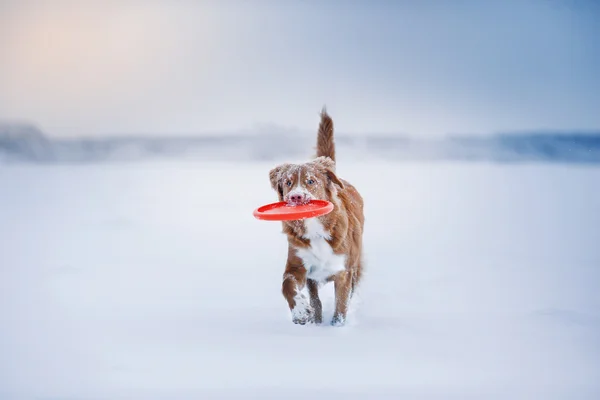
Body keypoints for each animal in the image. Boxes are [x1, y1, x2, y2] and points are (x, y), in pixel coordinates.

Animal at [268, 108, 364, 326]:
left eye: (310, 181)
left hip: (356, 264)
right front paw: (300, 311)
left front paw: (337, 327)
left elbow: (341, 306)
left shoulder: (343, 270)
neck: (315, 228)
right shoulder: (297, 265)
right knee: (315, 298)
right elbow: (287, 286)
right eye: (287, 182)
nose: (295, 197)